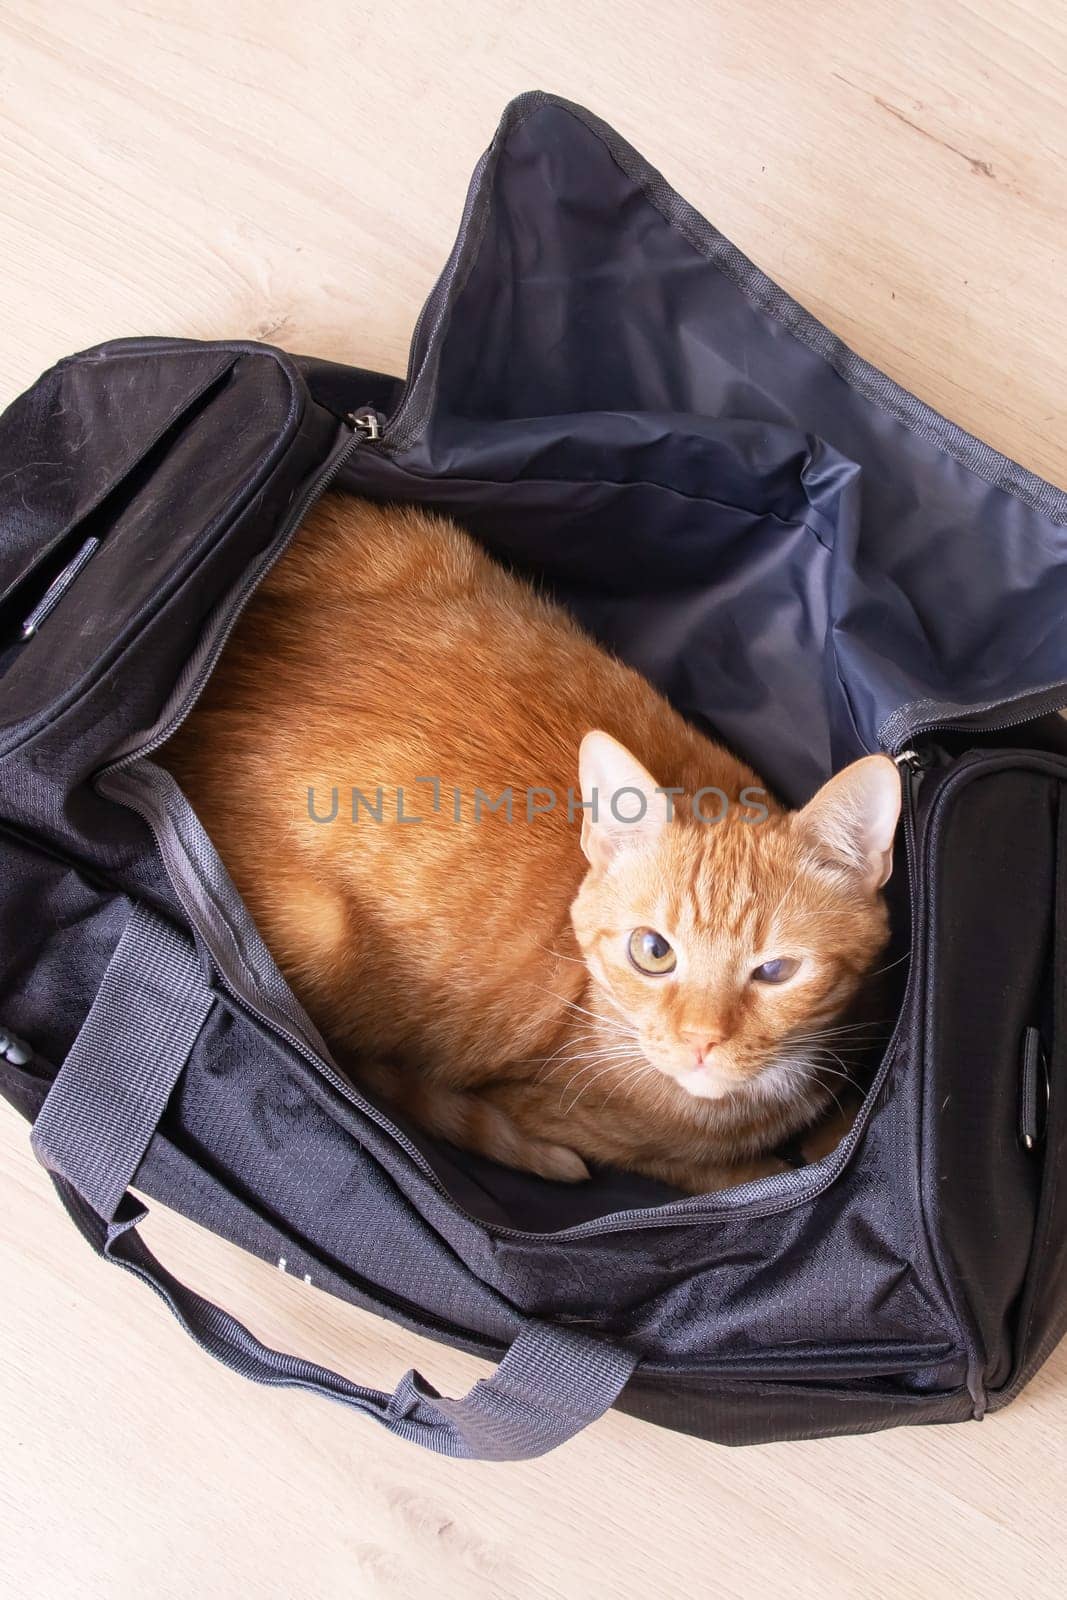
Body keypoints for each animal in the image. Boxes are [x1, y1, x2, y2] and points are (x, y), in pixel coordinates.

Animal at [167, 492, 902, 1196]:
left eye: (775, 971)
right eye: (653, 952)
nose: (699, 1042)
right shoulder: (555, 1111)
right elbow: (719, 1174)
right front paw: (769, 1166)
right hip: (315, 930)